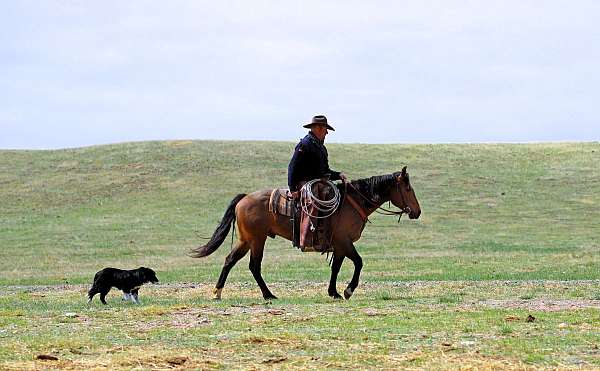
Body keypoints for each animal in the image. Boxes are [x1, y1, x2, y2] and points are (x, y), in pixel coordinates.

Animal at [190, 167, 420, 300]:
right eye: (408, 189)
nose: (417, 212)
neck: (353, 202)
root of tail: (244, 198)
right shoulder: (344, 241)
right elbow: (359, 262)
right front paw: (348, 290)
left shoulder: (339, 245)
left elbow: (336, 267)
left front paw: (334, 292)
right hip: (256, 240)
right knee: (254, 266)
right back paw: (268, 295)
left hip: (246, 240)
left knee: (230, 260)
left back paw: (218, 293)